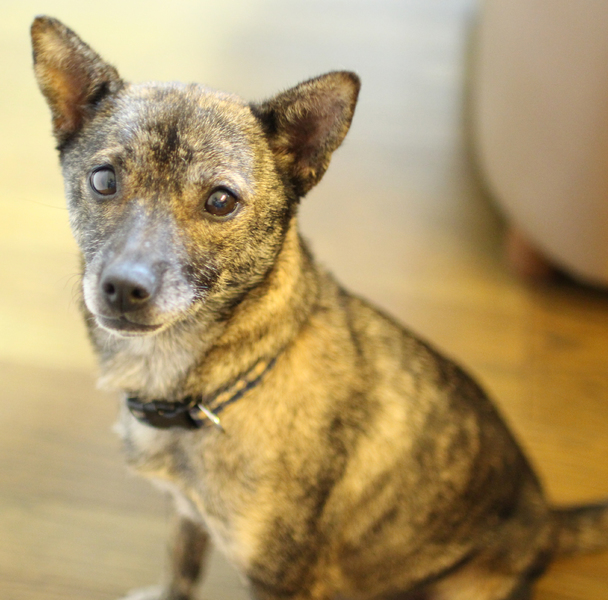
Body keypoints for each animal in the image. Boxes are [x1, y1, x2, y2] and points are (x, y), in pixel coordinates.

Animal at [32, 16, 608, 600]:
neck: (216, 383)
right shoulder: (188, 516)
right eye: (104, 180)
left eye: (220, 201)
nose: (123, 289)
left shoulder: (280, 580)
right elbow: (179, 570)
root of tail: (547, 521)